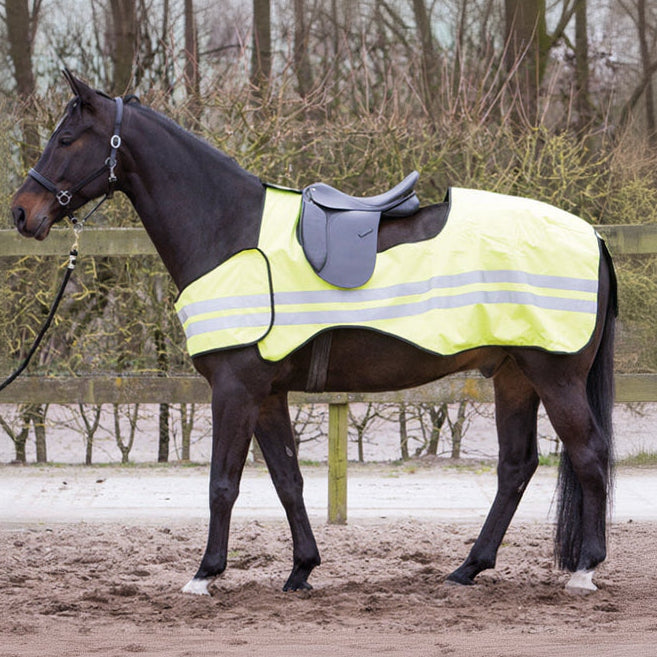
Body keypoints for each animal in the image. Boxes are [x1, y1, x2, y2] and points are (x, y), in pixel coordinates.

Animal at [11, 72, 617, 596]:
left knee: (588, 453)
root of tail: (592, 235)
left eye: (66, 138)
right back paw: (469, 567)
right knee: (516, 467)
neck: (227, 231)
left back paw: (585, 569)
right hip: (513, 374)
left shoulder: (235, 389)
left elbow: (222, 483)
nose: (21, 213)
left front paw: (205, 574)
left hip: (553, 374)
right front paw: (302, 569)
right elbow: (287, 479)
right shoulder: (267, 393)